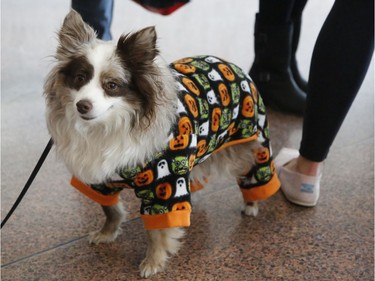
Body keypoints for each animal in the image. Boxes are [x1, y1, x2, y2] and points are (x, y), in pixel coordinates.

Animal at [44, 10, 280, 276]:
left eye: (111, 86)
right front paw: (107, 233)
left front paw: (153, 261)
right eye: (79, 78)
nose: (81, 105)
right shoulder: (102, 180)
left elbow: (156, 232)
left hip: (250, 140)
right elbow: (110, 209)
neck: (109, 126)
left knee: (252, 170)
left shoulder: (164, 185)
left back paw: (251, 202)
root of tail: (234, 65)